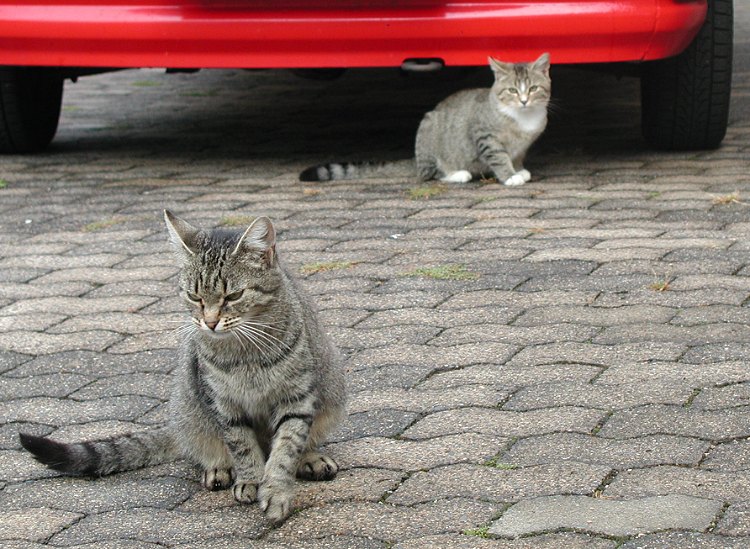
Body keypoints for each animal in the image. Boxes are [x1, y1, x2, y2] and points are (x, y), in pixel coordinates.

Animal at [18, 209, 346, 524]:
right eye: (194, 296)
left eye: (233, 296)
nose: (210, 322)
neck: (244, 351)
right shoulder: (222, 403)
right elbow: (241, 445)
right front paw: (251, 480)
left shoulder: (297, 397)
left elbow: (286, 447)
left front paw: (277, 490)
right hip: (191, 412)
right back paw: (219, 469)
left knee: (305, 440)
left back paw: (311, 458)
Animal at [300, 53, 552, 186]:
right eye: (512, 90)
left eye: (533, 88)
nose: (523, 100)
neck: (523, 118)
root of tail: (416, 159)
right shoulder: (485, 137)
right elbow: (499, 157)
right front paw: (510, 176)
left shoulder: (522, 146)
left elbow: (516, 156)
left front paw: (519, 170)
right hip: (429, 134)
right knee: (429, 174)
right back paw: (457, 174)